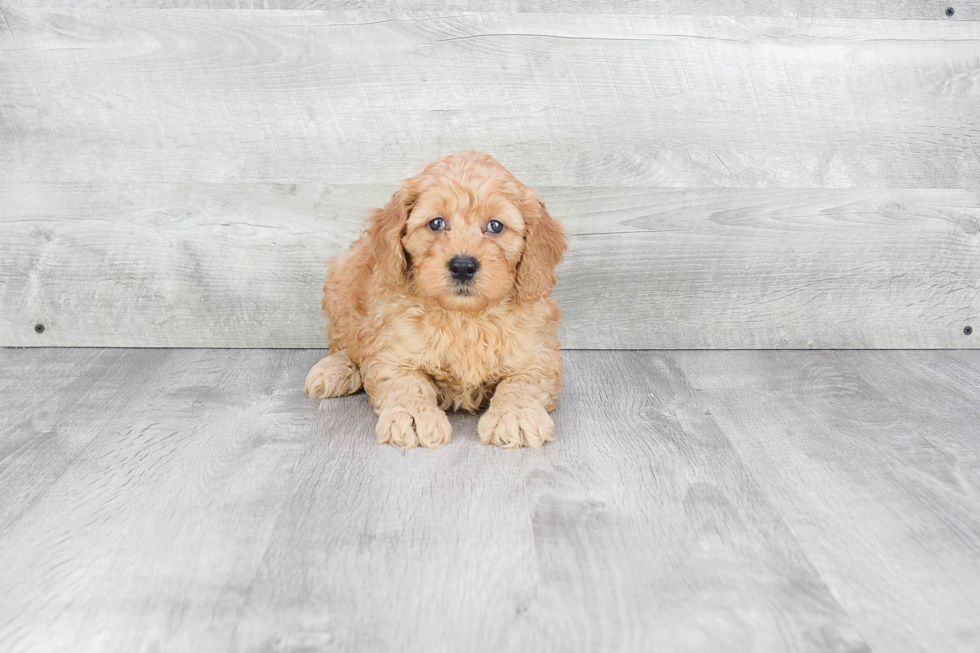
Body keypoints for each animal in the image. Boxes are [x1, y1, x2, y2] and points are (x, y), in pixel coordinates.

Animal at [304, 152, 568, 448]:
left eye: (495, 225)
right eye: (436, 223)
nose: (463, 266)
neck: (464, 316)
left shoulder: (538, 355)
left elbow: (522, 383)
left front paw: (516, 414)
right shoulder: (392, 351)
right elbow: (406, 382)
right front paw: (413, 415)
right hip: (341, 279)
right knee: (341, 342)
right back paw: (335, 370)